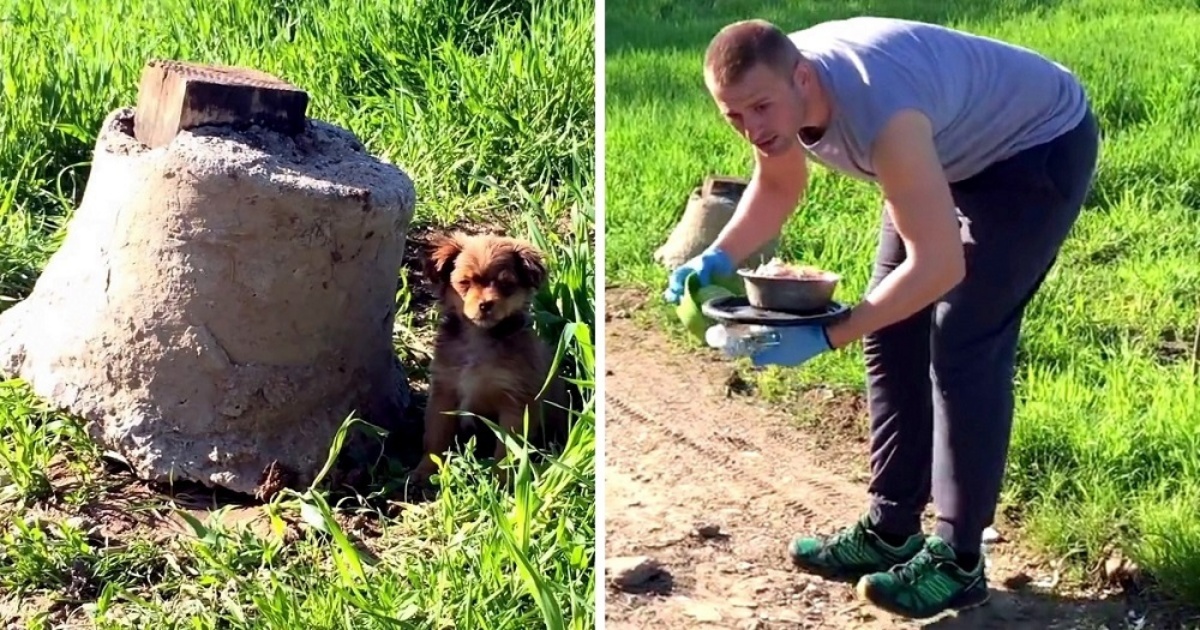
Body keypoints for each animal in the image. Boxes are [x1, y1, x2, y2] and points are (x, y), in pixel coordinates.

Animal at [412, 230, 571, 482]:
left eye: (506, 285)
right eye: (464, 283)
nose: (486, 304)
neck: (479, 337)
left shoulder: (516, 401)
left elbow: (506, 449)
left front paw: (502, 481)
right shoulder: (443, 392)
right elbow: (435, 437)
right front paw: (425, 470)